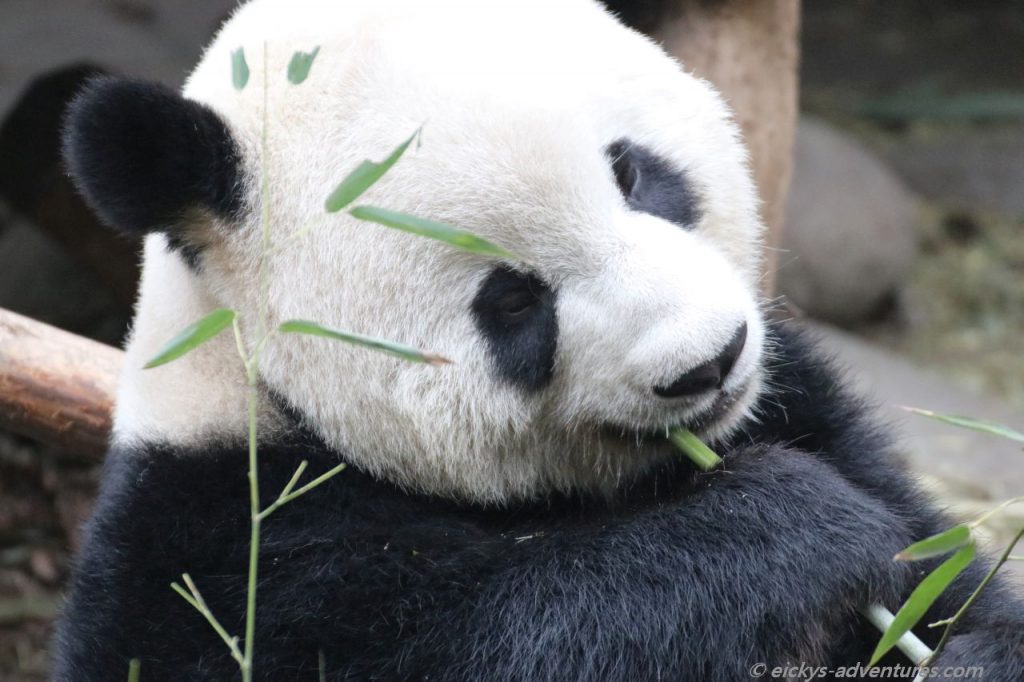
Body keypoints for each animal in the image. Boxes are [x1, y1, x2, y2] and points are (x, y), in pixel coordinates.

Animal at [54, 0, 1024, 680]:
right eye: (513, 300)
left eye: (633, 172)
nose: (707, 363)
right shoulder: (228, 550)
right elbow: (520, 635)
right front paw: (791, 524)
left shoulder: (804, 403)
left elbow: (933, 572)